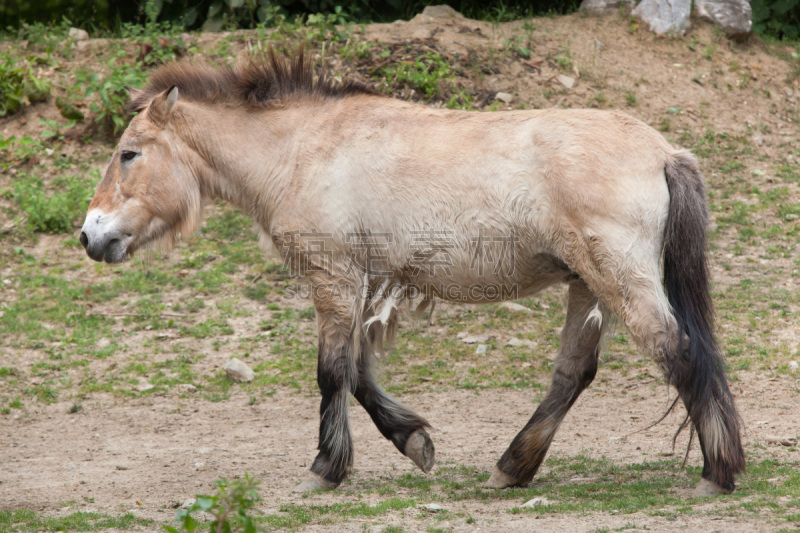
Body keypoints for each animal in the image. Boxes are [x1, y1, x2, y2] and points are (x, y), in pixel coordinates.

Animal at [78, 50, 748, 494]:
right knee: (573, 374)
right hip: (587, 286)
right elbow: (359, 374)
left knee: (679, 352)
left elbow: (332, 372)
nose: (90, 234)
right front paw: (415, 443)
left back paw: (717, 474)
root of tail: (665, 152)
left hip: (619, 280)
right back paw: (511, 469)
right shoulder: (363, 286)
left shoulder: (334, 278)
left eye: (129, 154)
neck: (301, 150)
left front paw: (326, 470)